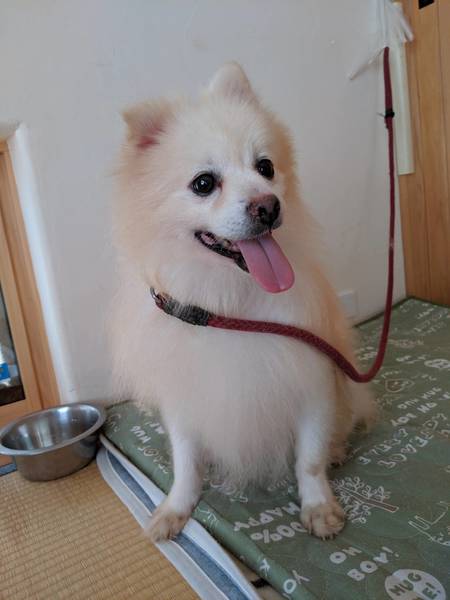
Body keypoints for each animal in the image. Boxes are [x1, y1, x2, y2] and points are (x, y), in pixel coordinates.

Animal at [110, 62, 376, 541]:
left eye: (265, 167)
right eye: (203, 184)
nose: (268, 206)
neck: (230, 307)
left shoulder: (311, 381)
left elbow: (308, 459)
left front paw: (318, 506)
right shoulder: (185, 396)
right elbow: (186, 464)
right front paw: (176, 508)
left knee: (339, 428)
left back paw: (337, 449)